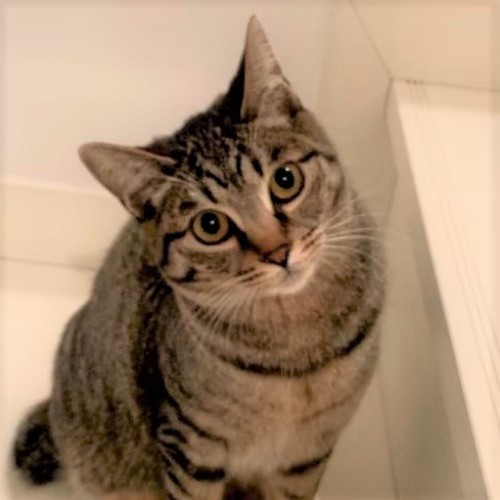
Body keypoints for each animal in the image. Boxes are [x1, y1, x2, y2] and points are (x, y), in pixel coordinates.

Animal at [12, 16, 385, 500]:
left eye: (285, 180)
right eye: (211, 226)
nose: (278, 252)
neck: (296, 350)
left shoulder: (308, 454)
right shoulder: (191, 448)